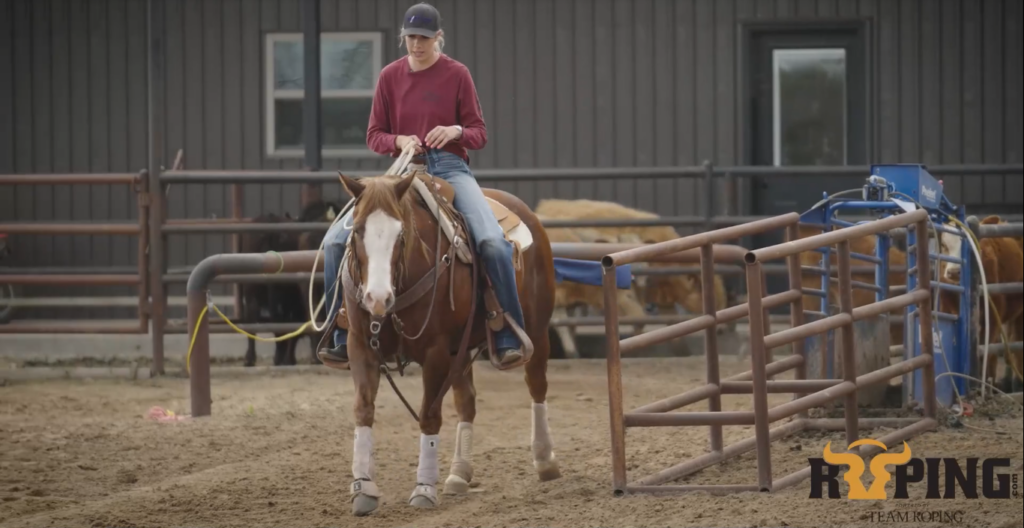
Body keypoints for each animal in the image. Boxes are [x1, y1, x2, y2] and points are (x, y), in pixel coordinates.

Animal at [335, 171, 561, 517]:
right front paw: (363, 488)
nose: (377, 298)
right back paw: (459, 473)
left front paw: (424, 488)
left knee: (537, 386)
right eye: (357, 229)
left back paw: (545, 459)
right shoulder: (360, 346)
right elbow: (363, 409)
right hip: (462, 350)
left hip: (535, 330)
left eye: (401, 232)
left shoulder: (436, 351)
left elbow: (429, 415)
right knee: (466, 401)